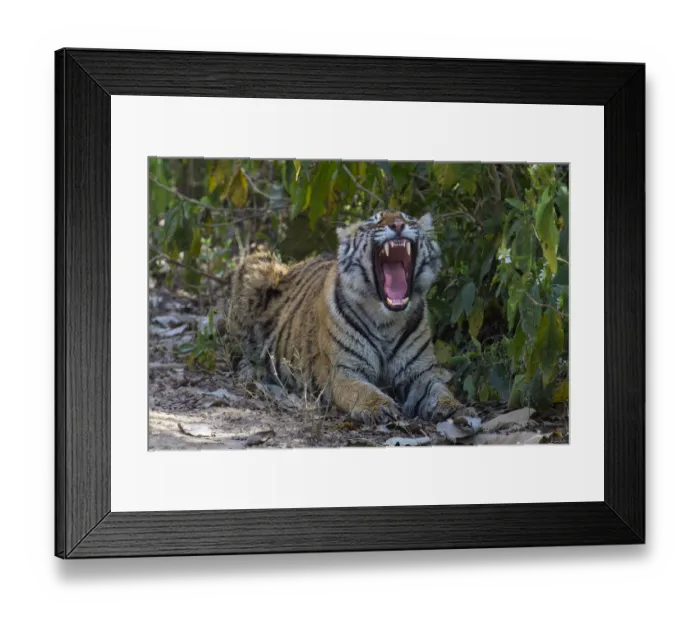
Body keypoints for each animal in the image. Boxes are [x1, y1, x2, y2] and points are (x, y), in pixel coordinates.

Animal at [226, 209, 472, 425]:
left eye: (407, 219)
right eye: (374, 222)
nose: (398, 225)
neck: (387, 321)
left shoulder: (420, 373)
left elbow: (439, 389)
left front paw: (452, 406)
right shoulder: (345, 371)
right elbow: (362, 390)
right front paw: (379, 407)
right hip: (257, 266)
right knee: (239, 353)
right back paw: (254, 373)